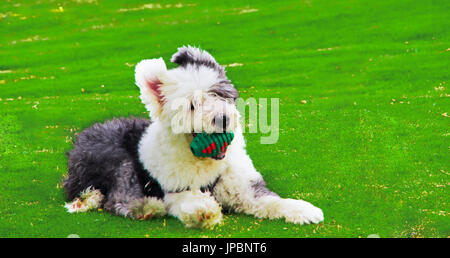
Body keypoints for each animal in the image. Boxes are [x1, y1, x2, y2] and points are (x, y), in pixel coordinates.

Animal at [63, 46, 324, 228]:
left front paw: (304, 211)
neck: (204, 163)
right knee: (115, 198)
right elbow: (188, 200)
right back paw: (147, 207)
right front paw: (203, 211)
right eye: (191, 105)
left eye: (218, 93)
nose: (222, 119)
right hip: (117, 159)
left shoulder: (244, 187)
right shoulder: (175, 189)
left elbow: (270, 200)